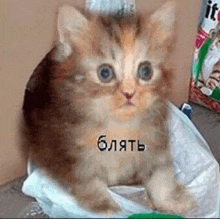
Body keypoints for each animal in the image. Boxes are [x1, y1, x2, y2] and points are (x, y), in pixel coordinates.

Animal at [21, 0, 196, 216]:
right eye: (105, 73)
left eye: (146, 70)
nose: (129, 93)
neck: (119, 128)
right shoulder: (74, 156)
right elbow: (91, 185)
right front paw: (108, 209)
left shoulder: (156, 139)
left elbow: (161, 175)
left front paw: (172, 202)